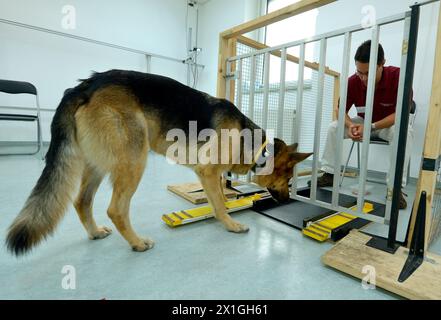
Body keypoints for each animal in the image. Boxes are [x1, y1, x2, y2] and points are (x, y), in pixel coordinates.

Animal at [5, 70, 312, 255]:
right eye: (288, 179)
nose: (288, 201)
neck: (256, 145)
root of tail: (85, 85)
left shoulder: (208, 175)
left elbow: (218, 198)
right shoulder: (207, 171)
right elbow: (220, 203)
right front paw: (230, 224)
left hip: (98, 165)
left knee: (82, 202)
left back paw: (95, 233)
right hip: (134, 160)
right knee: (116, 209)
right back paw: (137, 243)